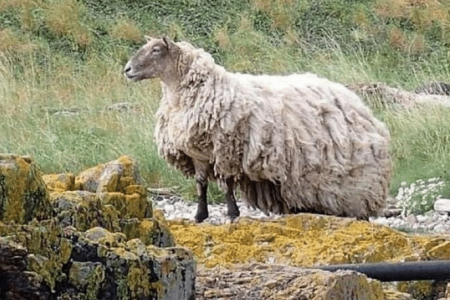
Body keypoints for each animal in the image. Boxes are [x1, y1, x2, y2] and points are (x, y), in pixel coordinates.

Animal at [125, 36, 392, 223]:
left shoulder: (225, 150)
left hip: (357, 180)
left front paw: (232, 214)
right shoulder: (196, 153)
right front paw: (200, 216)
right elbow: (201, 185)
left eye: (156, 50)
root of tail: (361, 106)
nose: (127, 70)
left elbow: (226, 185)